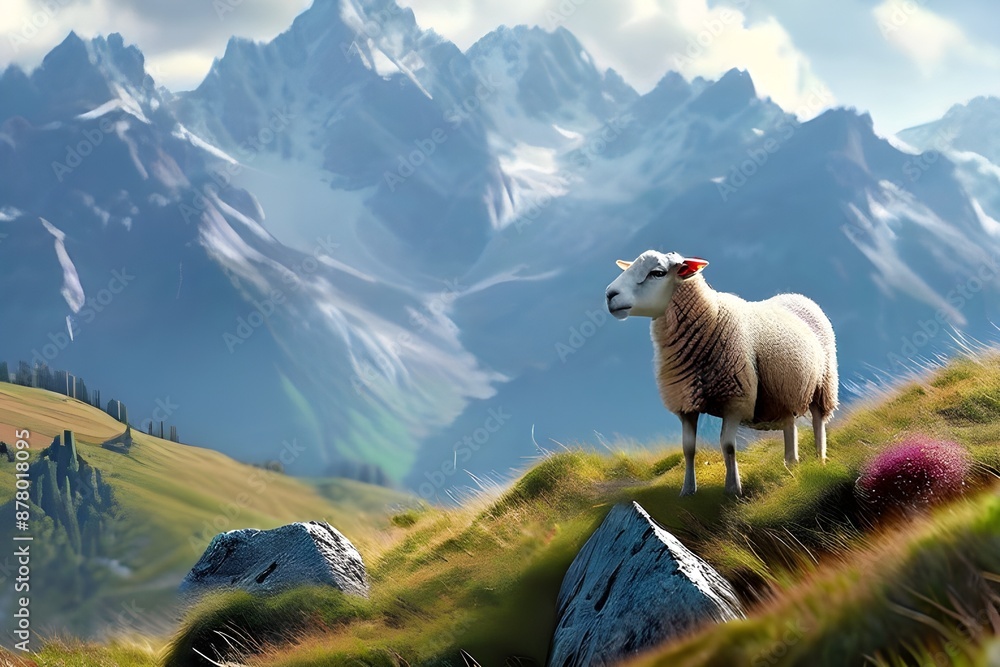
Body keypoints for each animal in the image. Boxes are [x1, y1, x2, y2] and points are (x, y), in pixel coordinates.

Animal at [605, 250, 838, 496]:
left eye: (657, 273)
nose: (609, 295)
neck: (711, 317)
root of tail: (797, 296)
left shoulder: (735, 399)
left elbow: (728, 446)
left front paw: (733, 488)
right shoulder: (685, 402)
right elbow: (688, 449)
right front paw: (687, 490)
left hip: (824, 385)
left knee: (818, 424)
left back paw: (820, 461)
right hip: (783, 392)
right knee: (789, 426)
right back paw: (791, 465)